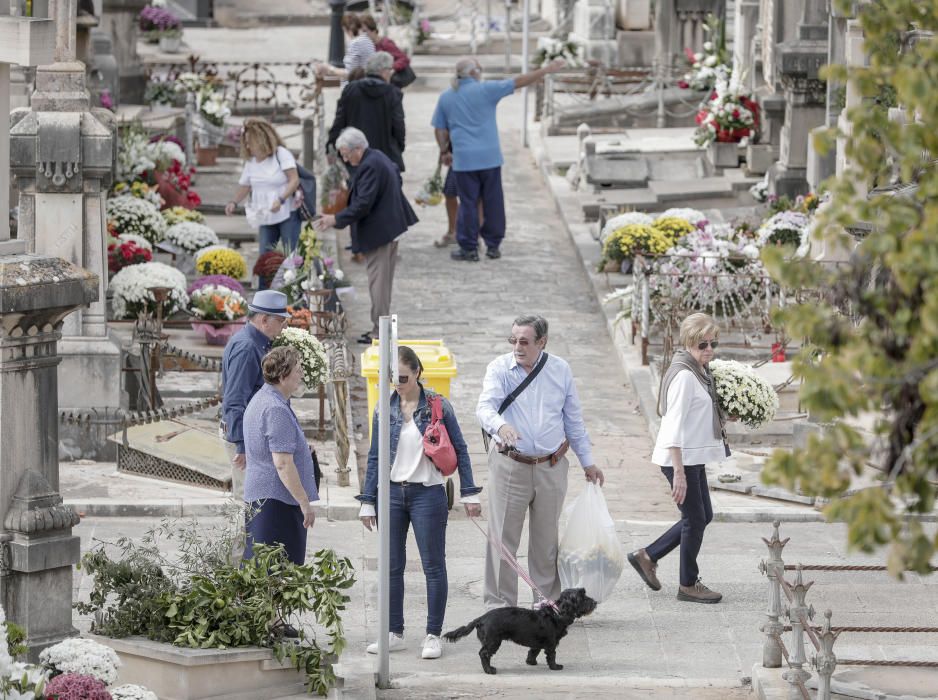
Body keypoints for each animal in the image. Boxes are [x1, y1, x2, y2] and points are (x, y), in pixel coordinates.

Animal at [442, 588, 596, 676]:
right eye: (583, 598)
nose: (595, 602)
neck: (557, 613)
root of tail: (481, 618)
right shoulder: (551, 643)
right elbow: (551, 656)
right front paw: (555, 667)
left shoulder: (537, 642)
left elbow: (533, 651)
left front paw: (531, 662)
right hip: (493, 641)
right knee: (483, 653)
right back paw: (490, 670)